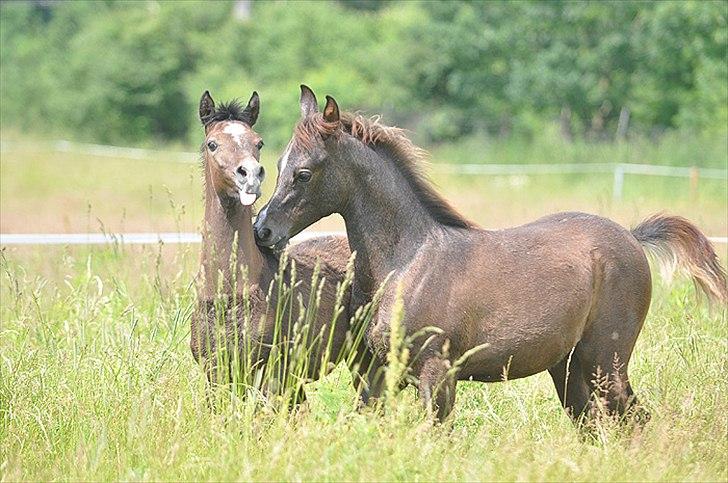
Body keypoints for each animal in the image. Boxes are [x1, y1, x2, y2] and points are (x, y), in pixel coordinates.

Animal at [188, 91, 358, 404]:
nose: (250, 175)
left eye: (259, 142)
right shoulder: (215, 376)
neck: (230, 294)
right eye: (212, 144)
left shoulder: (274, 377)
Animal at [253, 86, 724, 424]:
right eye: (275, 164)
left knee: (633, 418)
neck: (408, 262)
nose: (263, 230)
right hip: (569, 369)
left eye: (303, 173)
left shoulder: (438, 373)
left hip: (605, 360)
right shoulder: (381, 373)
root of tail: (631, 236)